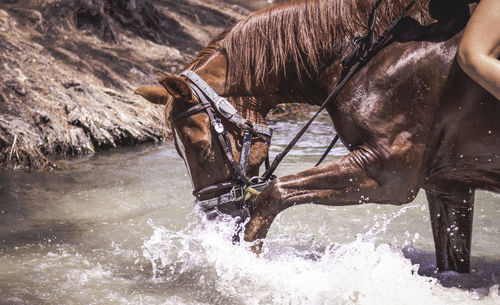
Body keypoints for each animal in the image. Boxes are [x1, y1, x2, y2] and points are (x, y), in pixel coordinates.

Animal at [136, 0, 500, 272]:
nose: (211, 215)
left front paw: (243, 267)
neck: (374, 52)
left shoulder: (390, 172)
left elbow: (273, 195)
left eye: (199, 147)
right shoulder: (447, 188)